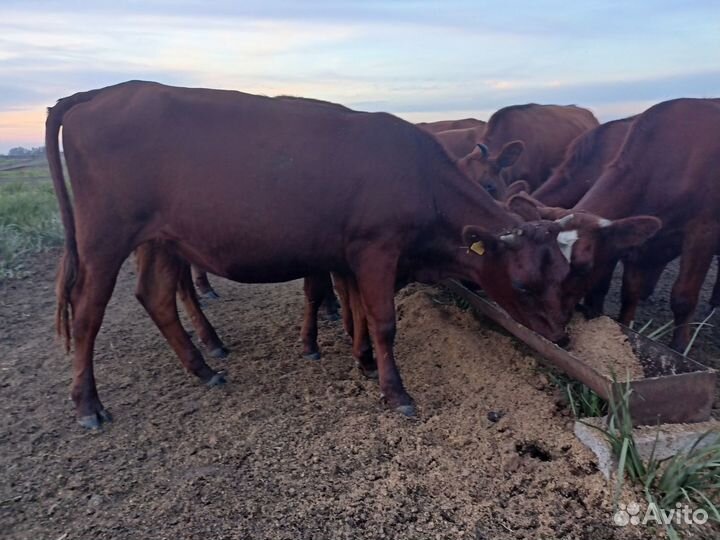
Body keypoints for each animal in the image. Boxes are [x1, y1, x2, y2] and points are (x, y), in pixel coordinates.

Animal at [47, 81, 573, 428]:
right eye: (523, 283)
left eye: (563, 273)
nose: (562, 336)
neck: (418, 175)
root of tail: (102, 92)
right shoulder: (377, 249)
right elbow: (382, 320)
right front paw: (395, 391)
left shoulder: (348, 254)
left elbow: (354, 309)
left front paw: (362, 360)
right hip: (104, 238)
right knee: (88, 312)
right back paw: (88, 405)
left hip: (161, 239)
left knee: (156, 297)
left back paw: (204, 369)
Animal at [525, 98, 720, 352]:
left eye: (584, 266)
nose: (550, 320)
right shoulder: (640, 242)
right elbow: (630, 290)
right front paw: (624, 328)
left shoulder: (703, 231)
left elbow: (683, 297)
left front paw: (679, 347)